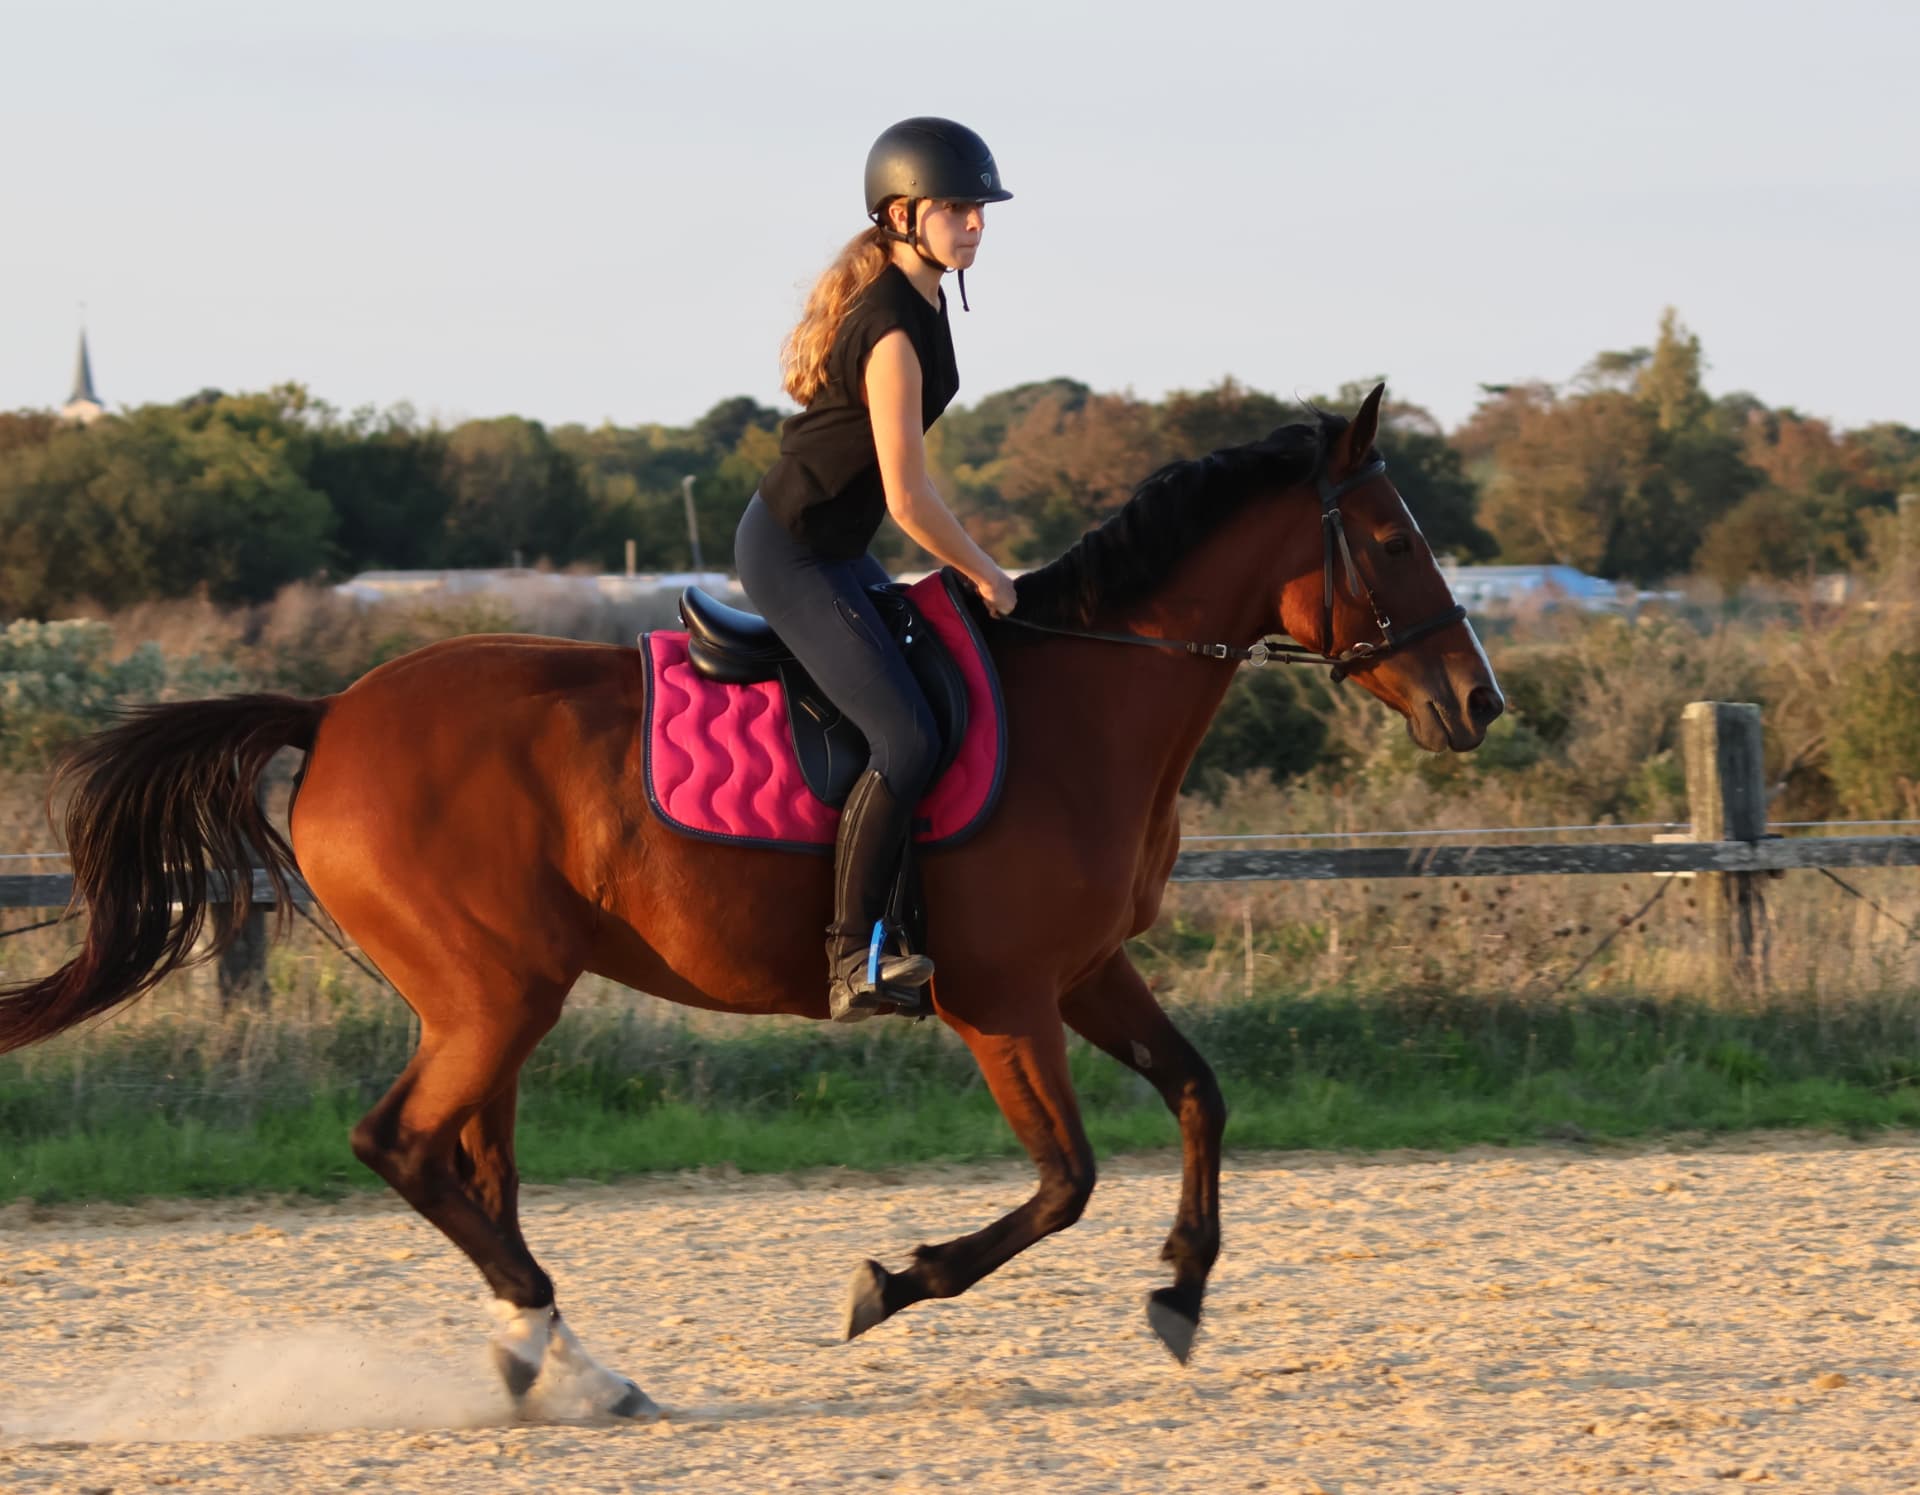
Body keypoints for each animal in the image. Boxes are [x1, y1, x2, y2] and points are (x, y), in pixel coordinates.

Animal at [0, 385, 1502, 1419]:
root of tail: (334, 714)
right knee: (405, 1145)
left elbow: (1198, 1093)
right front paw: (891, 1283)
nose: (1478, 702)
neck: (1083, 695)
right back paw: (559, 1350)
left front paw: (1182, 1289)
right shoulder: (1004, 1000)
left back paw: (558, 1359)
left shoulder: (1083, 974)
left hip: (493, 1002)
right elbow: (1065, 1180)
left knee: (473, 1164)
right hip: (494, 994)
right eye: (1389, 536)